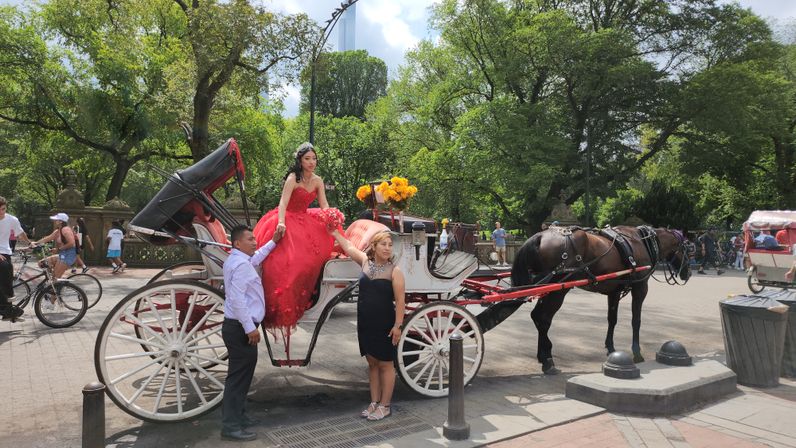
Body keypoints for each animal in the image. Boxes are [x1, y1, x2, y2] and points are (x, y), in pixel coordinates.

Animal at [512, 224, 688, 374]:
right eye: (689, 249)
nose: (686, 274)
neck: (642, 241)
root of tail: (541, 235)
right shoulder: (640, 288)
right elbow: (636, 321)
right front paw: (637, 353)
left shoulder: (614, 292)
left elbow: (612, 319)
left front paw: (611, 348)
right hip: (558, 291)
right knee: (543, 319)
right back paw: (548, 360)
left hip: (548, 290)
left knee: (537, 316)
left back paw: (543, 356)